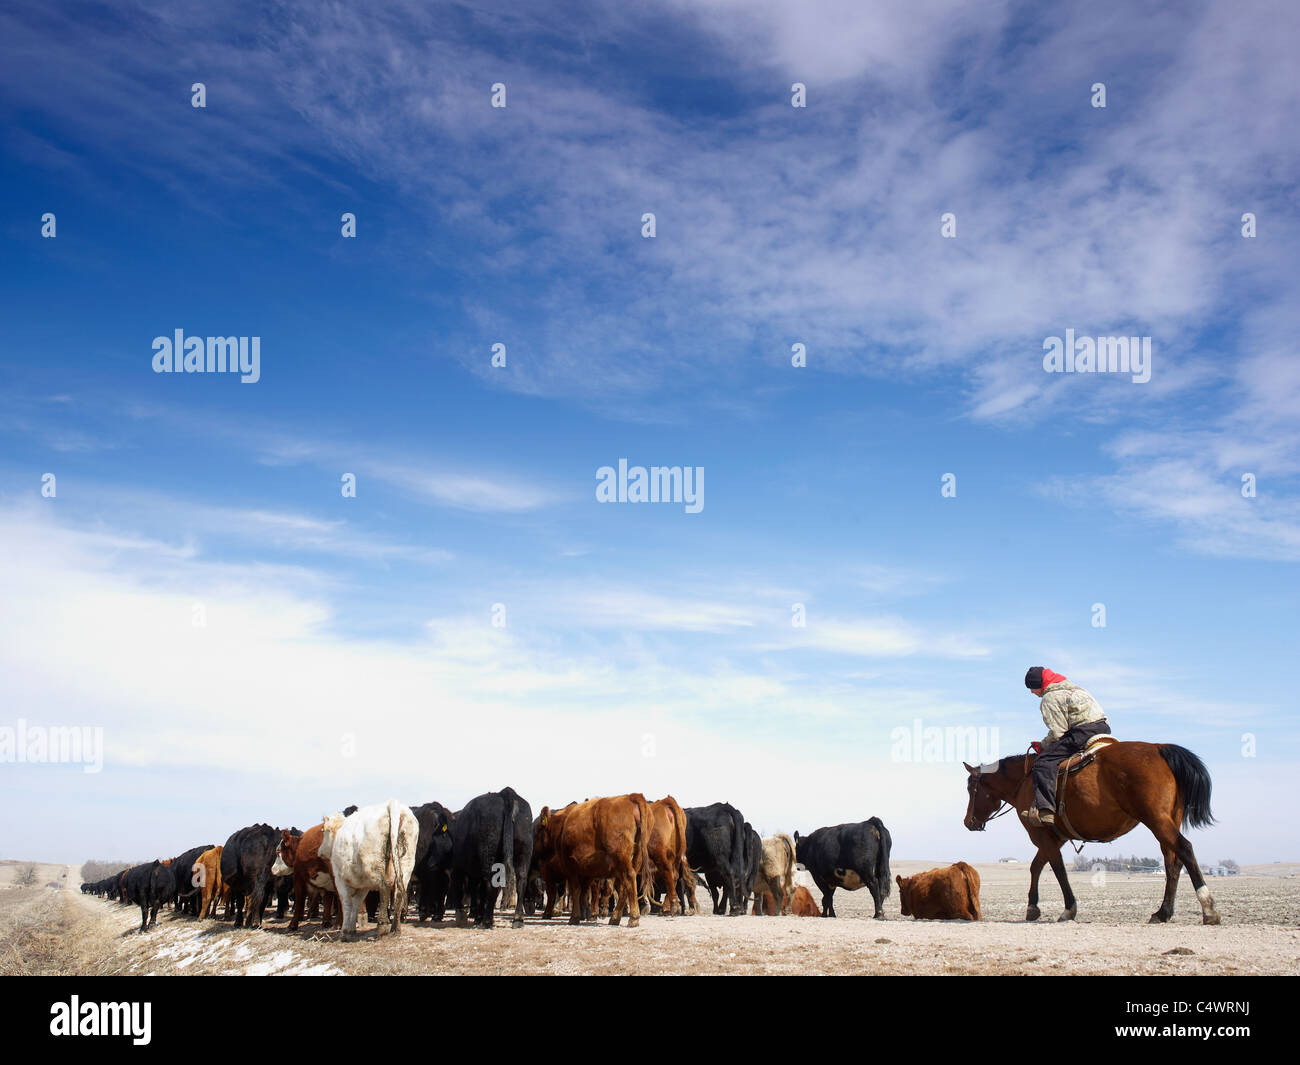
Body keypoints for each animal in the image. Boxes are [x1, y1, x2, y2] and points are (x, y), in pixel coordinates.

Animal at [447, 785, 527, 931]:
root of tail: (504, 793)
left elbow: (475, 891)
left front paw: (473, 916)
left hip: (488, 855)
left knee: (491, 885)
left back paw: (487, 920)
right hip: (523, 851)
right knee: (521, 881)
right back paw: (517, 919)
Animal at [533, 795, 650, 931]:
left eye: (538, 831)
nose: (534, 851)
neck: (561, 826)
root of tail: (630, 797)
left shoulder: (571, 867)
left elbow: (576, 891)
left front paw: (575, 917)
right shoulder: (586, 871)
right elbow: (584, 893)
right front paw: (585, 914)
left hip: (622, 858)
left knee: (629, 878)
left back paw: (633, 918)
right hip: (634, 859)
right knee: (625, 886)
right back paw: (615, 918)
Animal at [967, 743, 1216, 925]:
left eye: (971, 789)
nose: (968, 822)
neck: (1025, 780)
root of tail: (1159, 748)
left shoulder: (1042, 836)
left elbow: (1057, 869)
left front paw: (1068, 909)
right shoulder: (1055, 838)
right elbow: (1036, 866)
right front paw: (1032, 908)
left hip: (1157, 821)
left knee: (1185, 849)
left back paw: (1208, 908)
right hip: (1167, 822)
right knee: (1173, 863)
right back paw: (1163, 913)